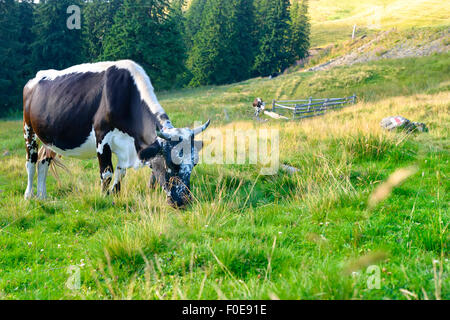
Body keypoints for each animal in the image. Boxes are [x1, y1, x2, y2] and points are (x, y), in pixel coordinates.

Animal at [24, 59, 213, 208]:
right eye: (171, 163)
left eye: (194, 163)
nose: (184, 201)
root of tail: (36, 78)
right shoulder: (102, 138)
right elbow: (107, 173)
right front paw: (102, 198)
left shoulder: (125, 147)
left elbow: (120, 173)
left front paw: (113, 196)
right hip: (29, 130)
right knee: (31, 163)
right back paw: (29, 195)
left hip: (49, 139)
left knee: (43, 162)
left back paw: (43, 196)